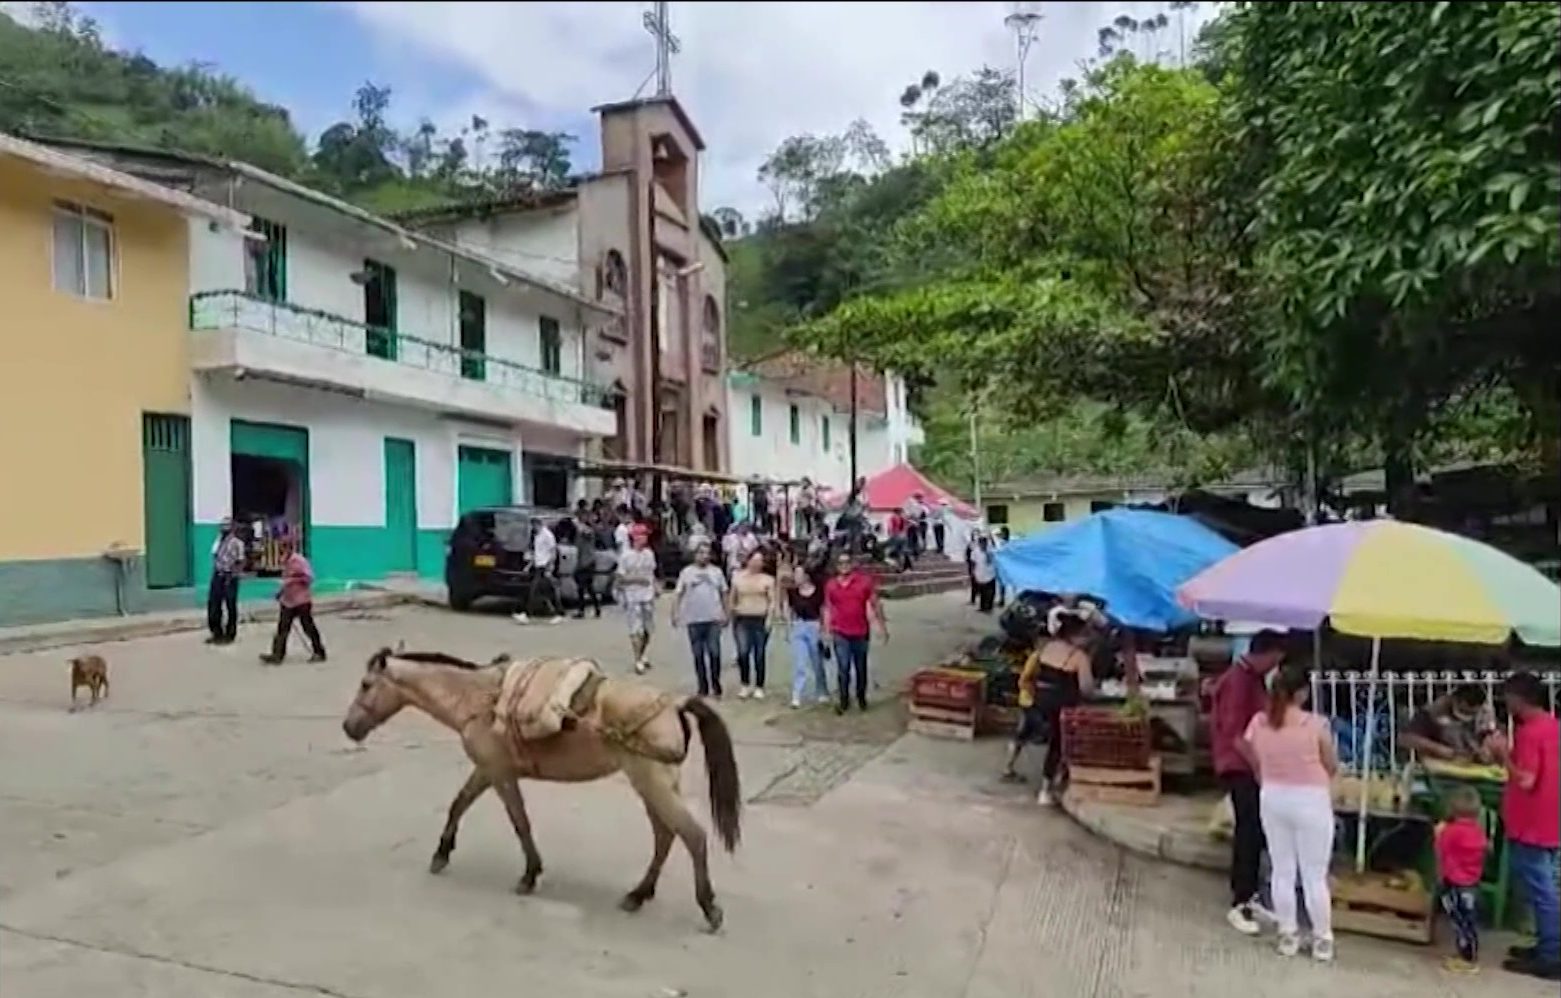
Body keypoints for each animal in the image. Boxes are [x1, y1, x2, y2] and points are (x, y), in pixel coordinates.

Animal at [344, 652, 746, 930]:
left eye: (365, 684)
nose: (349, 727)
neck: (478, 700)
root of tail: (673, 704)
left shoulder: (500, 774)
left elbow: (519, 822)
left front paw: (529, 875)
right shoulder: (486, 771)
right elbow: (459, 804)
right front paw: (442, 853)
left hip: (652, 781)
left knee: (691, 835)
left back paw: (708, 907)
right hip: (653, 784)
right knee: (665, 836)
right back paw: (638, 895)